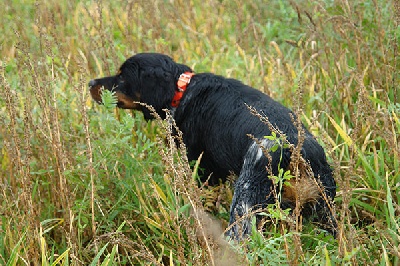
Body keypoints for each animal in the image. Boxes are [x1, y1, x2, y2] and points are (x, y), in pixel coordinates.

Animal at [89, 53, 336, 238]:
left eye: (122, 77)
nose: (91, 82)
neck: (182, 90)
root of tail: (297, 151)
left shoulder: (202, 170)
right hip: (325, 209)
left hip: (244, 207)